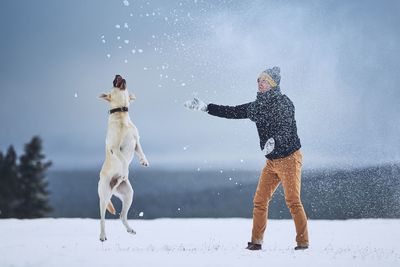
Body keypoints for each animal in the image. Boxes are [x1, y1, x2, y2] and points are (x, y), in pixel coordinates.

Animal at [98, 75, 148, 243]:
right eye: (114, 82)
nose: (117, 75)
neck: (122, 117)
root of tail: (114, 186)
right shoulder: (115, 148)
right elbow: (124, 160)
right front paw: (126, 171)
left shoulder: (136, 141)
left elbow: (141, 151)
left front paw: (144, 162)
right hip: (105, 196)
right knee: (102, 219)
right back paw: (102, 236)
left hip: (128, 194)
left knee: (121, 215)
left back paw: (130, 229)